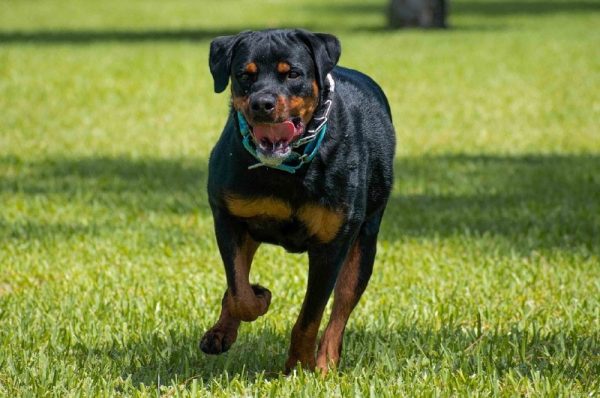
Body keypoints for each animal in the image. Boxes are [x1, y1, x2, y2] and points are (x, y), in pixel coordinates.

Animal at [202, 28, 396, 374]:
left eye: (292, 73)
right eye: (244, 75)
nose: (262, 103)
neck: (287, 168)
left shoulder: (331, 246)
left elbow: (311, 316)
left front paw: (300, 365)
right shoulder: (227, 217)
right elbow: (239, 291)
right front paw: (259, 297)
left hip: (365, 243)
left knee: (341, 309)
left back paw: (326, 362)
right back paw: (221, 332)